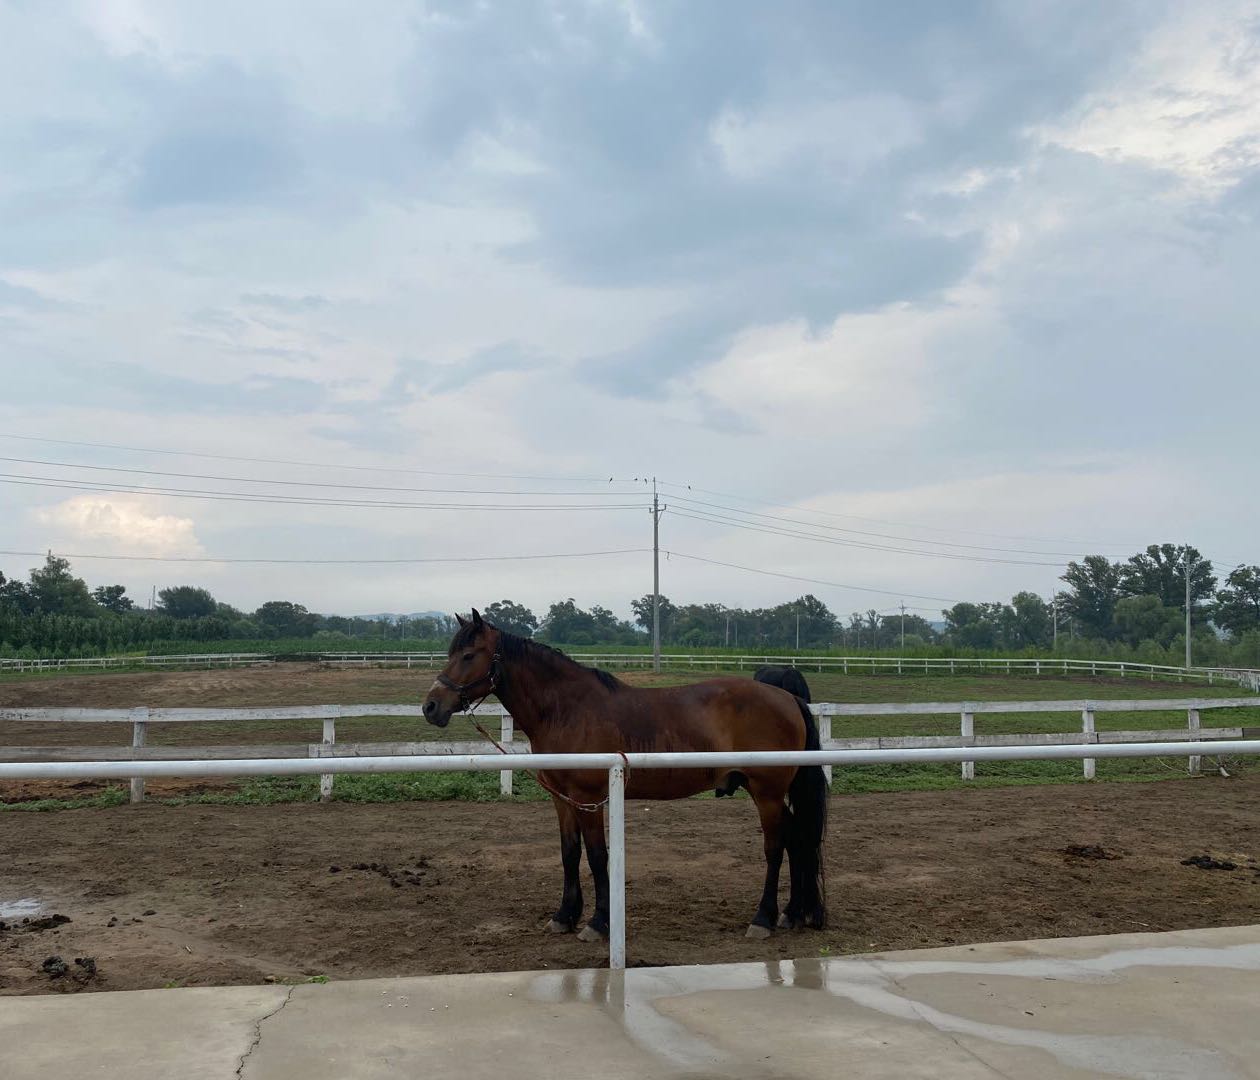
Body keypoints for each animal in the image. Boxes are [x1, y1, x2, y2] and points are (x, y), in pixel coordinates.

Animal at [423, 609, 826, 937]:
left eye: (469, 655)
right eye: (451, 653)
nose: (431, 706)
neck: (568, 709)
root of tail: (789, 698)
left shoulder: (588, 798)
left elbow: (597, 856)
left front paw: (598, 923)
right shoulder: (561, 799)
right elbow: (570, 853)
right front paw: (564, 916)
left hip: (766, 792)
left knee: (775, 847)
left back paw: (763, 919)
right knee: (798, 839)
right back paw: (793, 914)